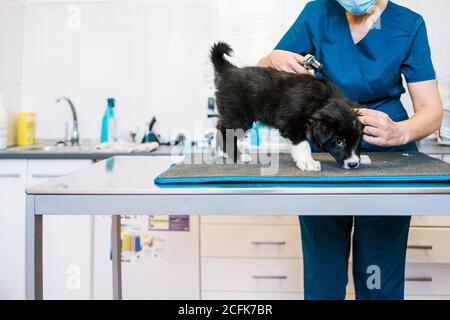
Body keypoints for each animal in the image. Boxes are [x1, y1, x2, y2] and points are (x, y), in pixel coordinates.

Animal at [212, 42, 366, 170]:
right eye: (339, 142)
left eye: (358, 140)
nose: (353, 164)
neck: (322, 101)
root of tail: (229, 70)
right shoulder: (291, 123)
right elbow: (303, 145)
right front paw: (308, 162)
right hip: (239, 115)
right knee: (227, 131)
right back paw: (238, 156)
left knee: (220, 126)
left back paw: (223, 153)